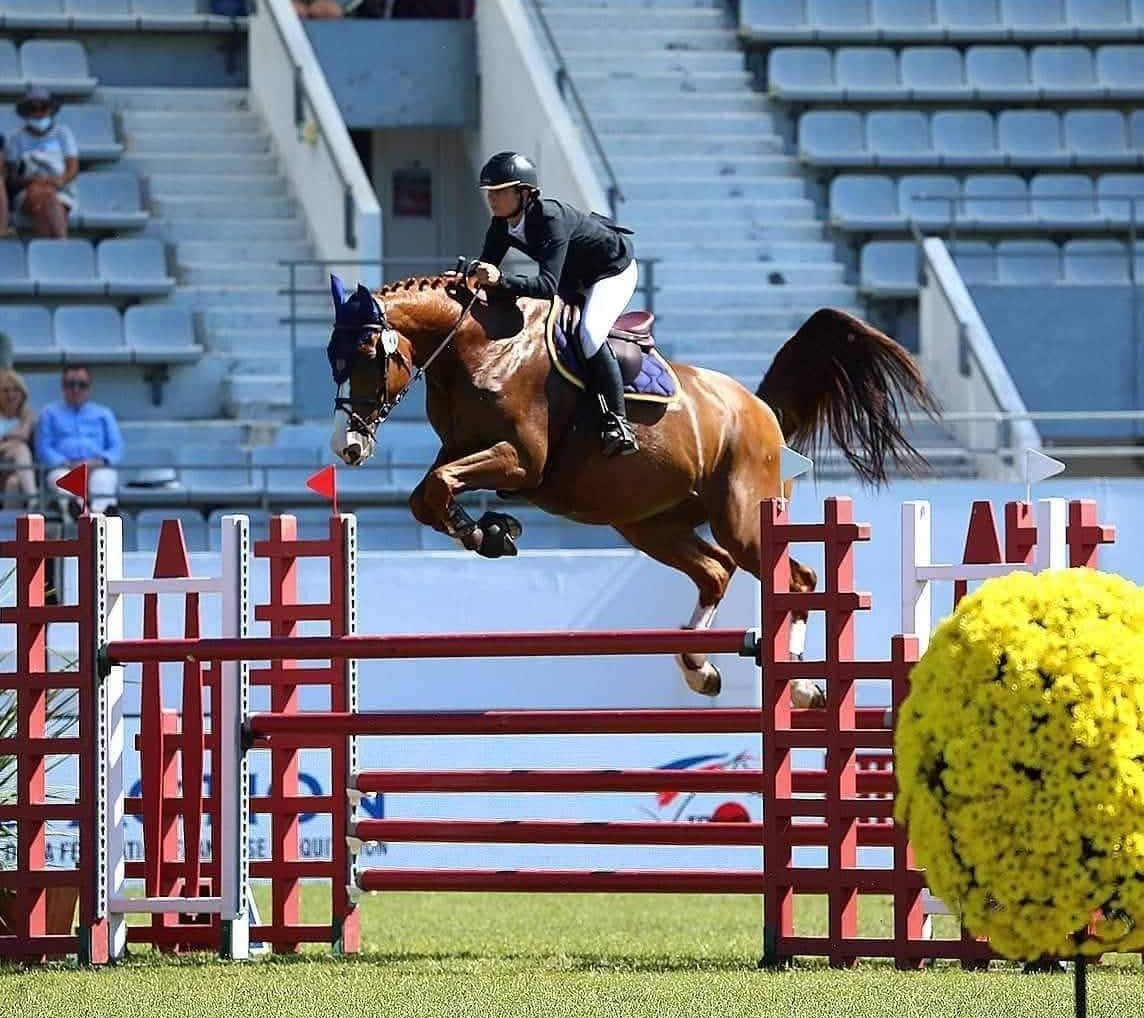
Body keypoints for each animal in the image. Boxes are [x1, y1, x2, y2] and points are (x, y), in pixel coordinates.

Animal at [325, 271, 940, 702]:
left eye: (366, 356)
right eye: (332, 358)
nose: (346, 447)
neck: (481, 349)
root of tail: (758, 407)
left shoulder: (521, 462)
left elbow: (438, 487)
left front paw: (490, 532)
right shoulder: (463, 453)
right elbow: (427, 494)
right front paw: (491, 531)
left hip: (743, 518)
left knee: (797, 577)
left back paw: (803, 685)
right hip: (649, 524)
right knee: (716, 572)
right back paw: (700, 670)